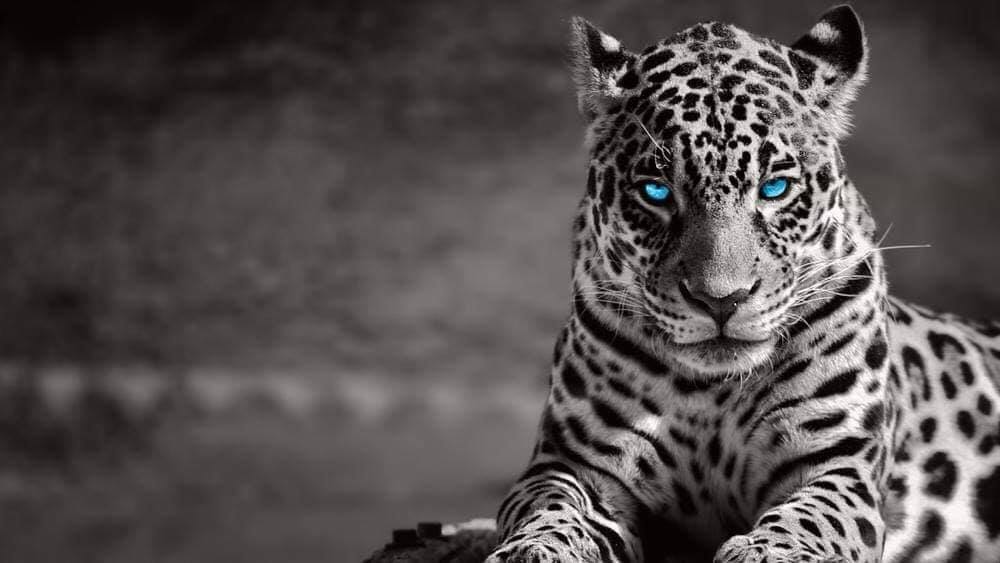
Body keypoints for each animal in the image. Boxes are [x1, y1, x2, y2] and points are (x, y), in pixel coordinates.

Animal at [486, 6, 1000, 562]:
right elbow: (551, 508)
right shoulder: (574, 462)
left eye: (774, 188)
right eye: (656, 192)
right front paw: (533, 549)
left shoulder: (837, 464)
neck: (711, 392)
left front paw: (768, 551)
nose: (720, 300)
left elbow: (809, 519)